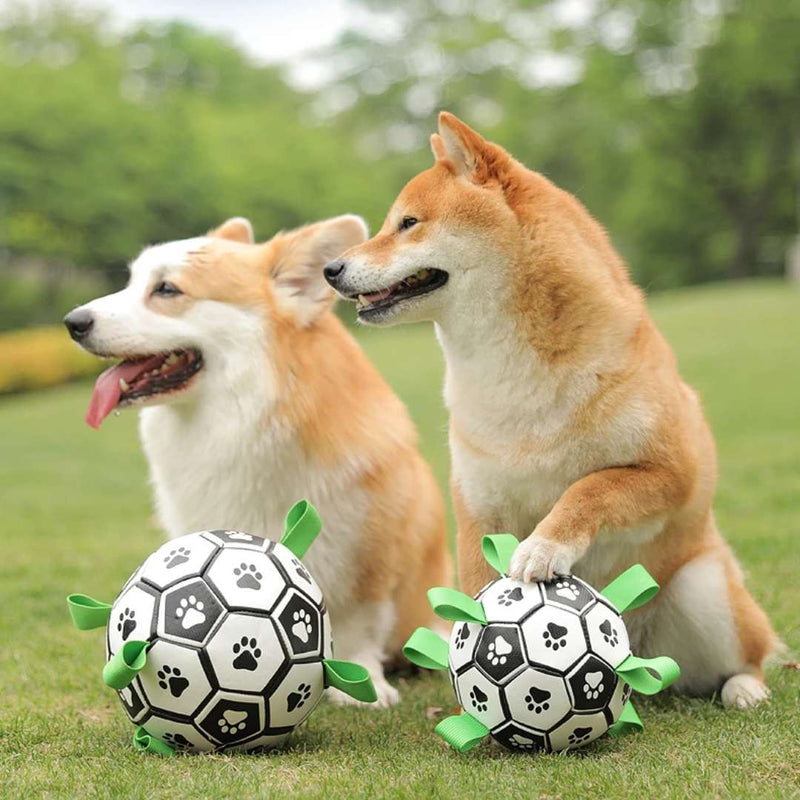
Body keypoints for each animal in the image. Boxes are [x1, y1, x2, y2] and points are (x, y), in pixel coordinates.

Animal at [64, 214, 450, 708]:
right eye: (131, 282)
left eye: (167, 289)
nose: (73, 323)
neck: (246, 416)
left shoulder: (368, 553)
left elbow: (358, 625)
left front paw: (365, 686)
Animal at [322, 112, 780, 708]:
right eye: (391, 223)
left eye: (408, 223)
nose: (331, 268)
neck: (510, 373)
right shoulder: (479, 506)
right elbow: (475, 593)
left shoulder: (672, 470)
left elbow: (589, 488)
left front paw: (545, 546)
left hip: (705, 591)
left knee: (751, 654)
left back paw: (745, 688)